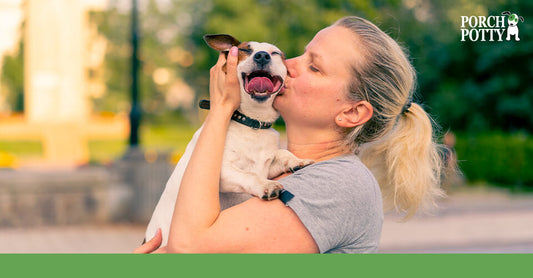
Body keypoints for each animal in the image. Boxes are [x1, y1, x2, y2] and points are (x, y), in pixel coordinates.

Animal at [143, 33, 314, 244]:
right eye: (245, 50)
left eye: (276, 54)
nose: (262, 56)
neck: (251, 124)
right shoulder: (221, 172)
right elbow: (249, 175)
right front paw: (266, 185)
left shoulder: (266, 165)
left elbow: (281, 153)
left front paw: (298, 161)